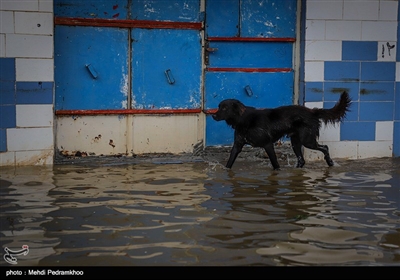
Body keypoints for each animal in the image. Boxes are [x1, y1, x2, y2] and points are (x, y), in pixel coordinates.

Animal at [212, 92, 350, 171]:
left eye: (224, 108)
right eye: (219, 106)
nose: (213, 116)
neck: (243, 119)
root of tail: (312, 111)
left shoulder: (268, 144)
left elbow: (275, 164)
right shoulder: (237, 145)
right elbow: (229, 162)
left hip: (307, 140)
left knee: (325, 147)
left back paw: (330, 162)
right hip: (295, 142)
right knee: (301, 160)